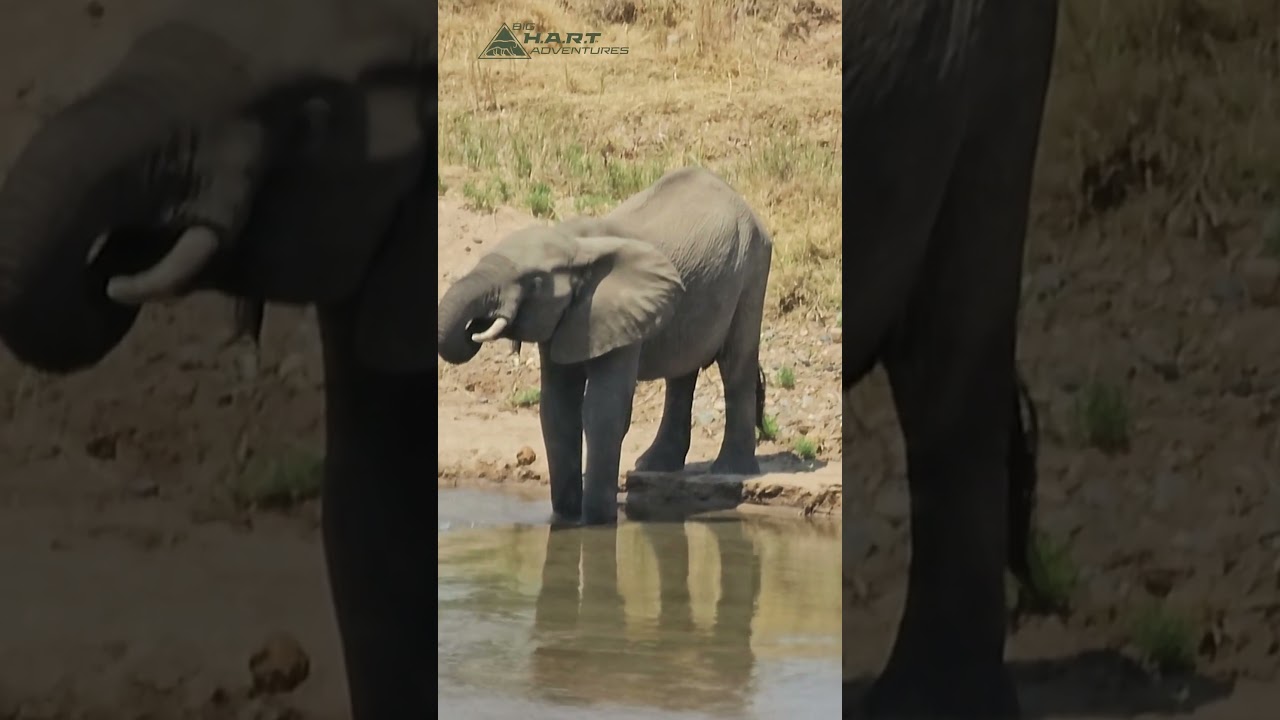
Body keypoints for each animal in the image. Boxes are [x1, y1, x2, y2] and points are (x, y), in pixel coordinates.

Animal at [437, 166, 774, 525]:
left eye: (535, 282)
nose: (476, 325)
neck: (575, 244)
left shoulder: (620, 313)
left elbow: (603, 408)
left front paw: (596, 521)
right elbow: (557, 408)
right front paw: (566, 518)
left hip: (753, 267)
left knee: (735, 365)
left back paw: (731, 468)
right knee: (682, 370)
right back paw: (654, 465)